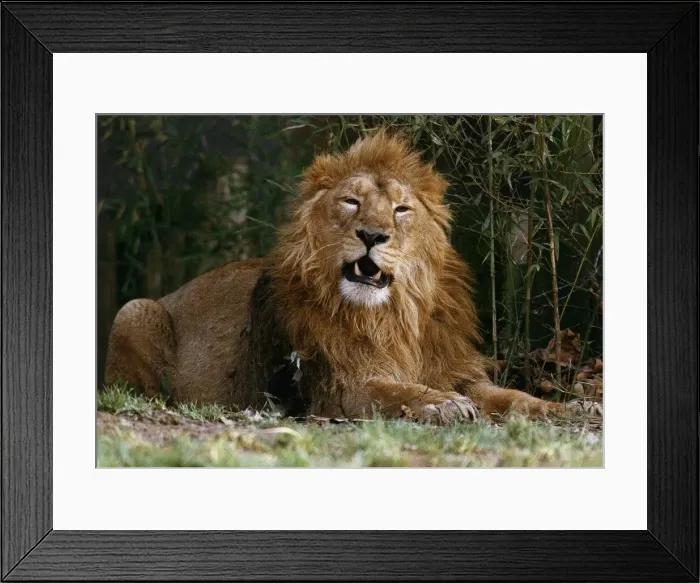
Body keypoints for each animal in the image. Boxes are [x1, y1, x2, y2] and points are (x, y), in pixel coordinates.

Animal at [104, 131, 600, 424]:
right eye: (351, 202)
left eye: (401, 208)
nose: (372, 235)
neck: (389, 317)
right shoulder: (337, 388)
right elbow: (394, 392)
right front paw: (439, 403)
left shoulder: (453, 367)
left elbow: (512, 396)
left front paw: (567, 407)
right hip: (134, 310)